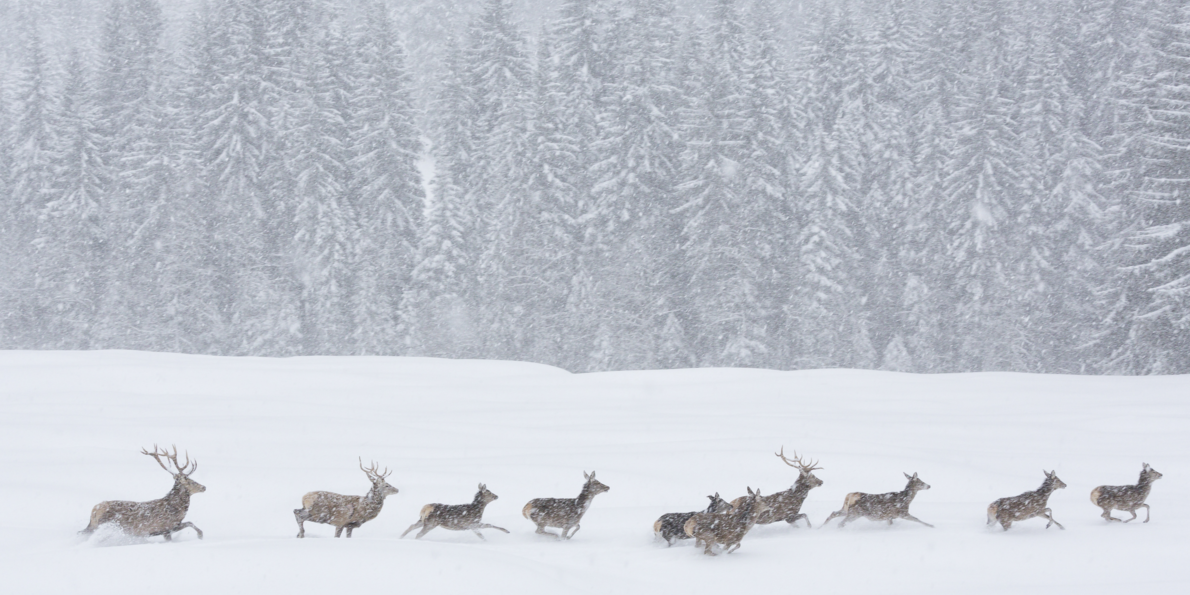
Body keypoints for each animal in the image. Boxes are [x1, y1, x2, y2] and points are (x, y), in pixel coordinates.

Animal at [79, 447, 207, 540]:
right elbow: (190, 523)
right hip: (107, 525)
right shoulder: (166, 527)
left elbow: (189, 522)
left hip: (93, 526)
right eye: (191, 481)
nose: (204, 487)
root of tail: (94, 510)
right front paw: (200, 535)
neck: (177, 510)